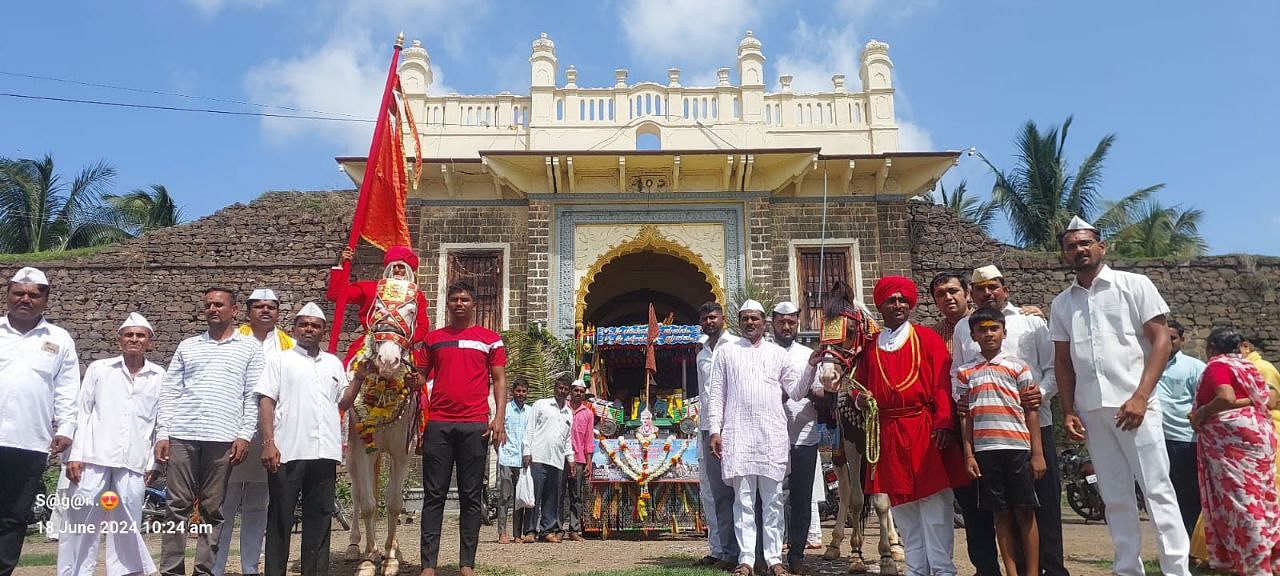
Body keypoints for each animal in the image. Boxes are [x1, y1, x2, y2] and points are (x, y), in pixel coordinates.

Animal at [340, 273, 419, 576]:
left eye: (412, 311)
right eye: (378, 307)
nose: (387, 360)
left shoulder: (403, 452)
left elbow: (395, 504)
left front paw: (390, 558)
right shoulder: (363, 450)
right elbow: (369, 505)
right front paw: (368, 559)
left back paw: (392, 548)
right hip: (353, 451)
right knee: (358, 493)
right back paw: (355, 546)